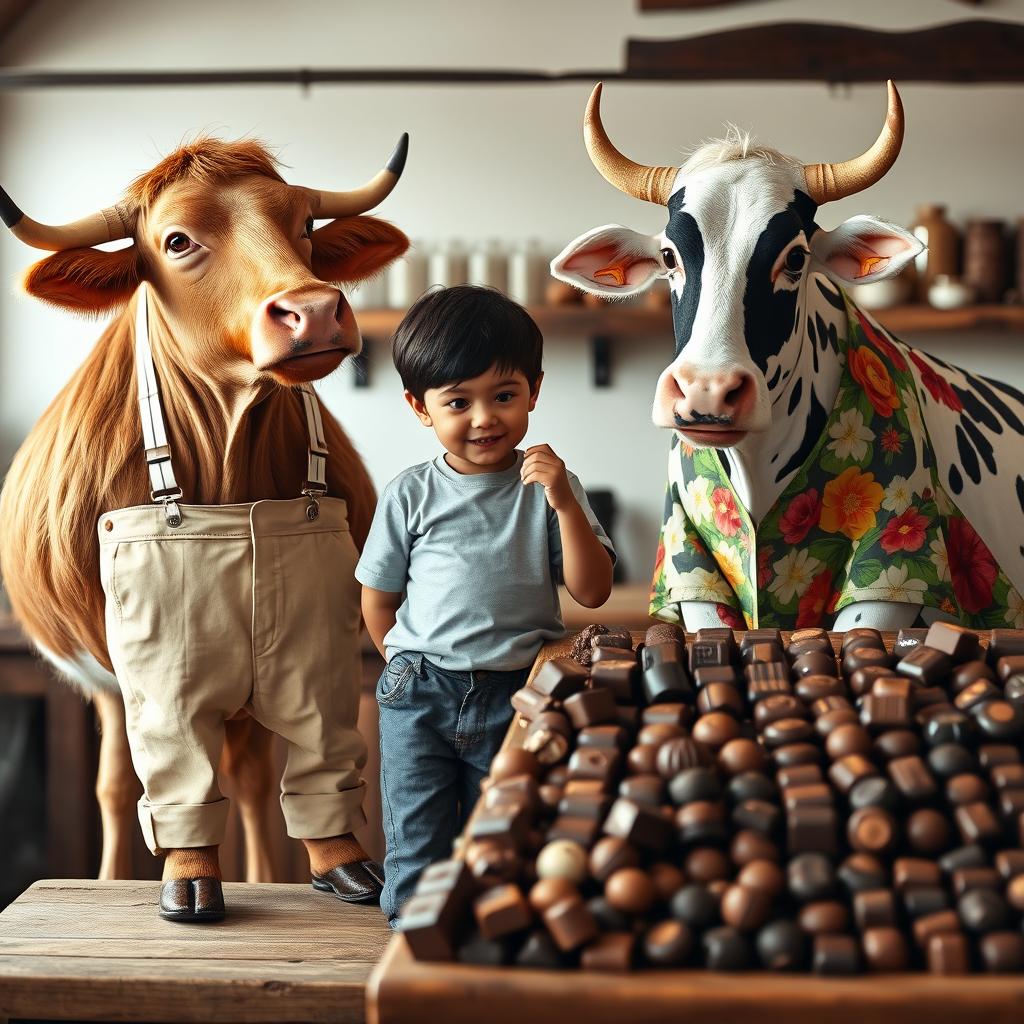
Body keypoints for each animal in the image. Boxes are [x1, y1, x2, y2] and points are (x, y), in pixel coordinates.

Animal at [561, 83, 1024, 634]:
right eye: (670, 256)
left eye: (796, 257)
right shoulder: (694, 574)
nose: (706, 391)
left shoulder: (896, 566)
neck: (756, 467)